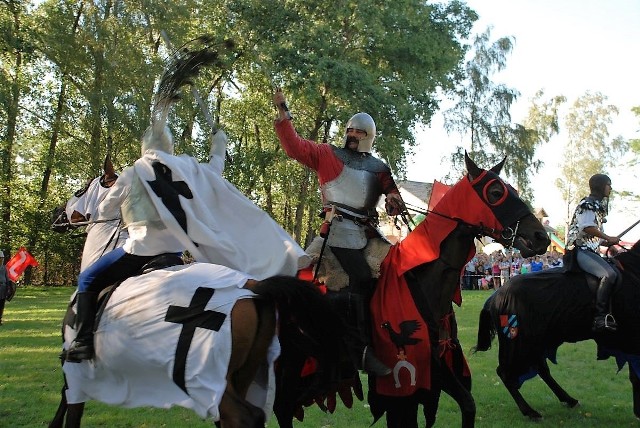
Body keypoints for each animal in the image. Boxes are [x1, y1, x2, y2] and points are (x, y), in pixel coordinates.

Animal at [472, 241, 640, 422]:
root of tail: (495, 296)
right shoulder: (632, 339)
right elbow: (635, 376)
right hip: (517, 343)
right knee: (505, 372)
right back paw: (531, 412)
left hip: (536, 342)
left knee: (541, 369)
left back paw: (569, 400)